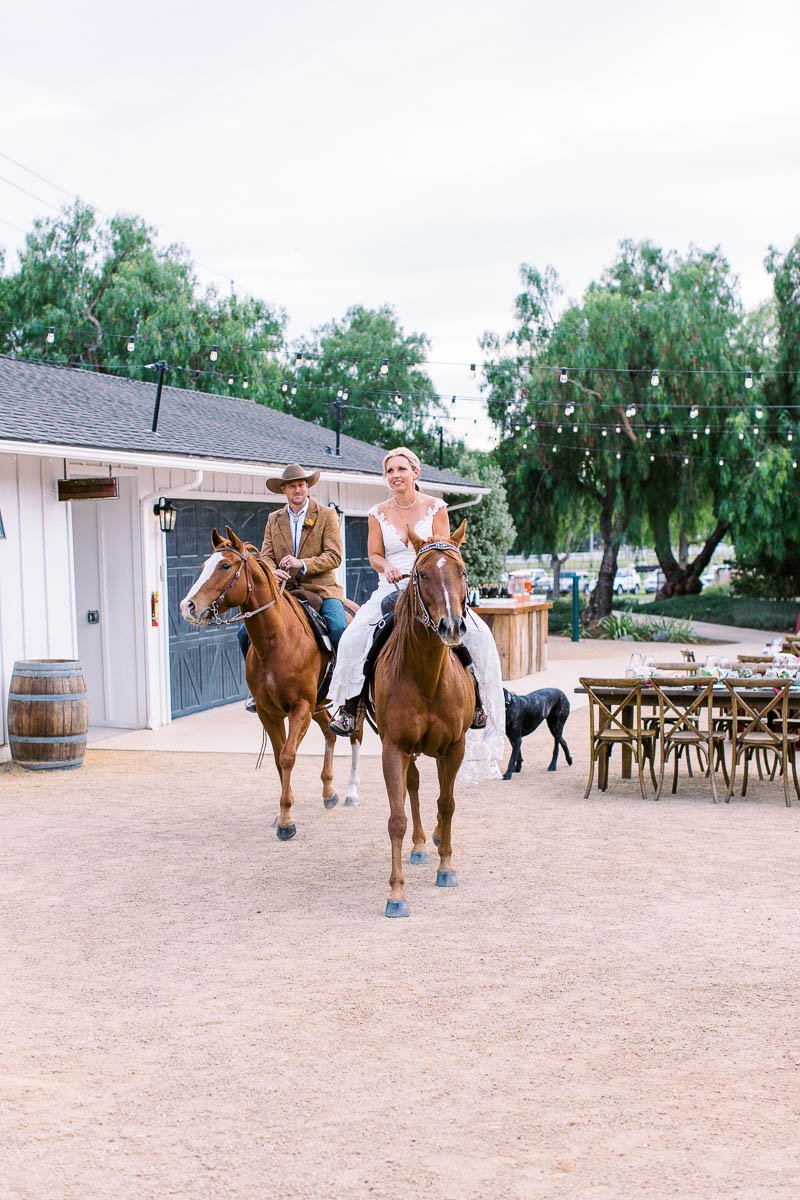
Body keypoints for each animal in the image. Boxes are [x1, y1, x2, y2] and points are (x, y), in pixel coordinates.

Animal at [179, 525, 362, 835]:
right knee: (328, 734)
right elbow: (278, 759)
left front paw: (286, 822)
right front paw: (282, 814)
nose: (187, 606)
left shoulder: (300, 707)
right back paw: (329, 792)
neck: (277, 640)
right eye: (204, 566)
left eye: (225, 566)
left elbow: (288, 756)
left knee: (355, 737)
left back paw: (351, 793)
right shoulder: (269, 712)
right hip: (318, 705)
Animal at [371, 518, 472, 916]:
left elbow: (448, 804)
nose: (451, 627)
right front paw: (396, 894)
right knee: (412, 786)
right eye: (422, 574)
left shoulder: (455, 746)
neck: (427, 677)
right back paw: (417, 845)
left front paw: (447, 868)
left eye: (462, 571)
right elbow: (396, 817)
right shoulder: (394, 748)